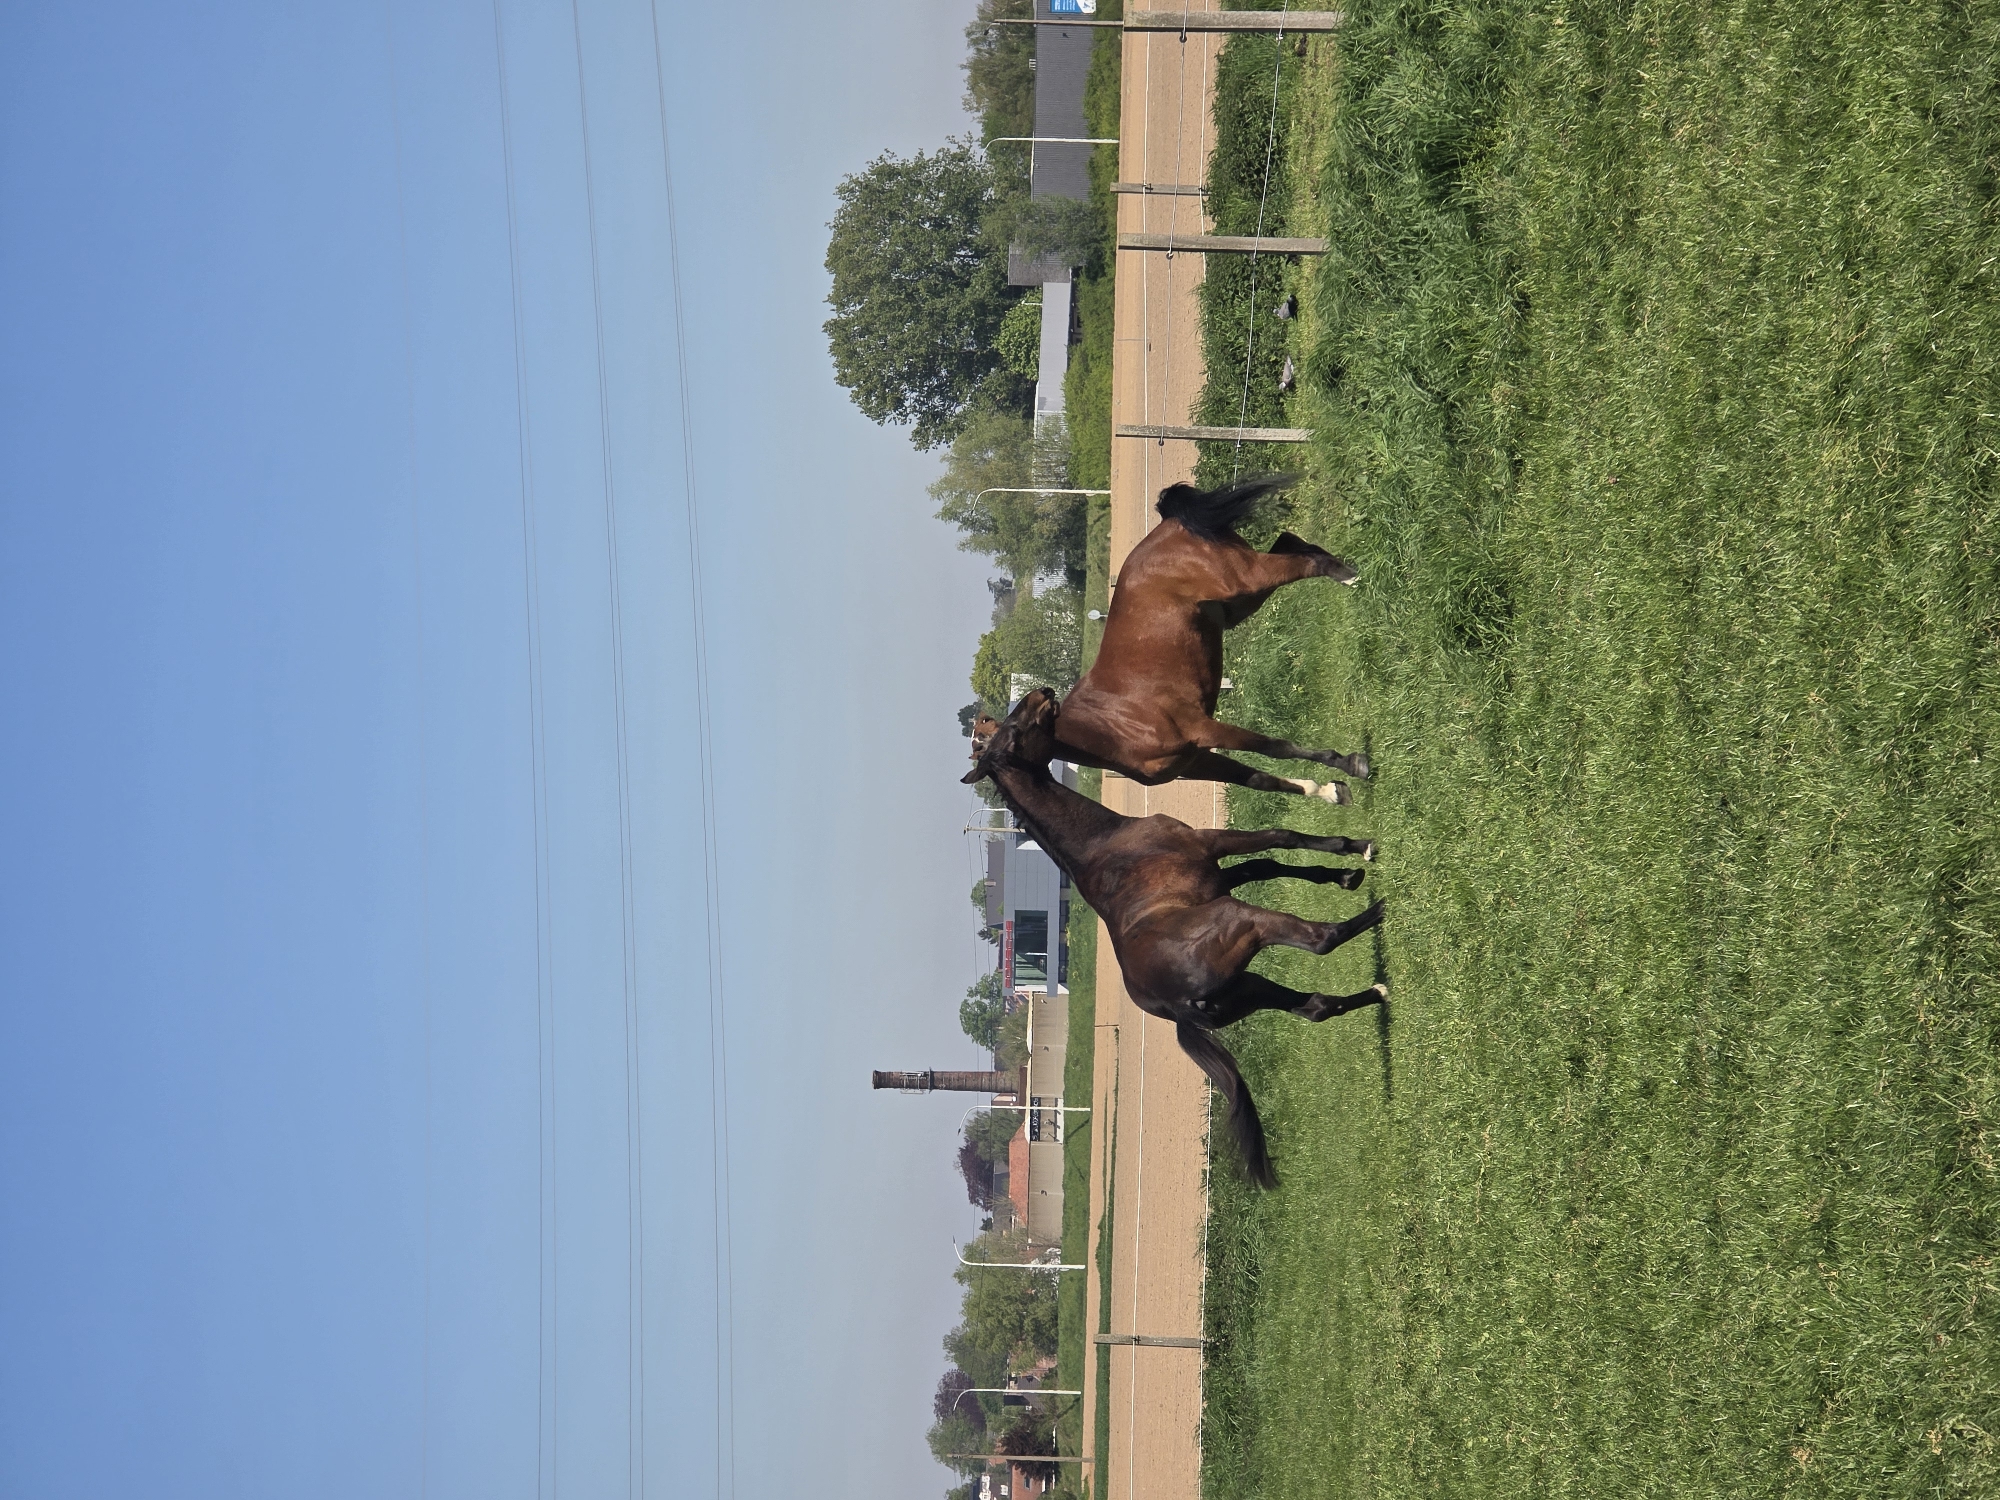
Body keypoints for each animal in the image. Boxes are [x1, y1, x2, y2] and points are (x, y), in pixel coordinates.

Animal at [965, 688, 1386, 1188]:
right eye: (1015, 731)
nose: (1042, 694)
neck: (1106, 841)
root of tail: (1175, 1008)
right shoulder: (1211, 846)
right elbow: (1280, 836)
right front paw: (1358, 849)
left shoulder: (1218, 876)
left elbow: (1267, 862)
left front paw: (1343, 874)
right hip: (1245, 921)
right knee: (1322, 939)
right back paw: (1382, 915)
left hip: (1249, 989)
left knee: (1316, 1006)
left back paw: (1379, 989)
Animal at [1045, 475, 1369, 804]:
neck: (1109, 728)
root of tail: (1169, 522)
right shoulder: (1197, 759)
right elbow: (1261, 780)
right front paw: (1332, 790)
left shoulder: (1203, 729)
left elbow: (1275, 747)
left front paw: (1351, 764)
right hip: (1240, 600)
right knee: (1291, 542)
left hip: (1246, 580)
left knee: (1305, 562)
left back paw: (1352, 577)